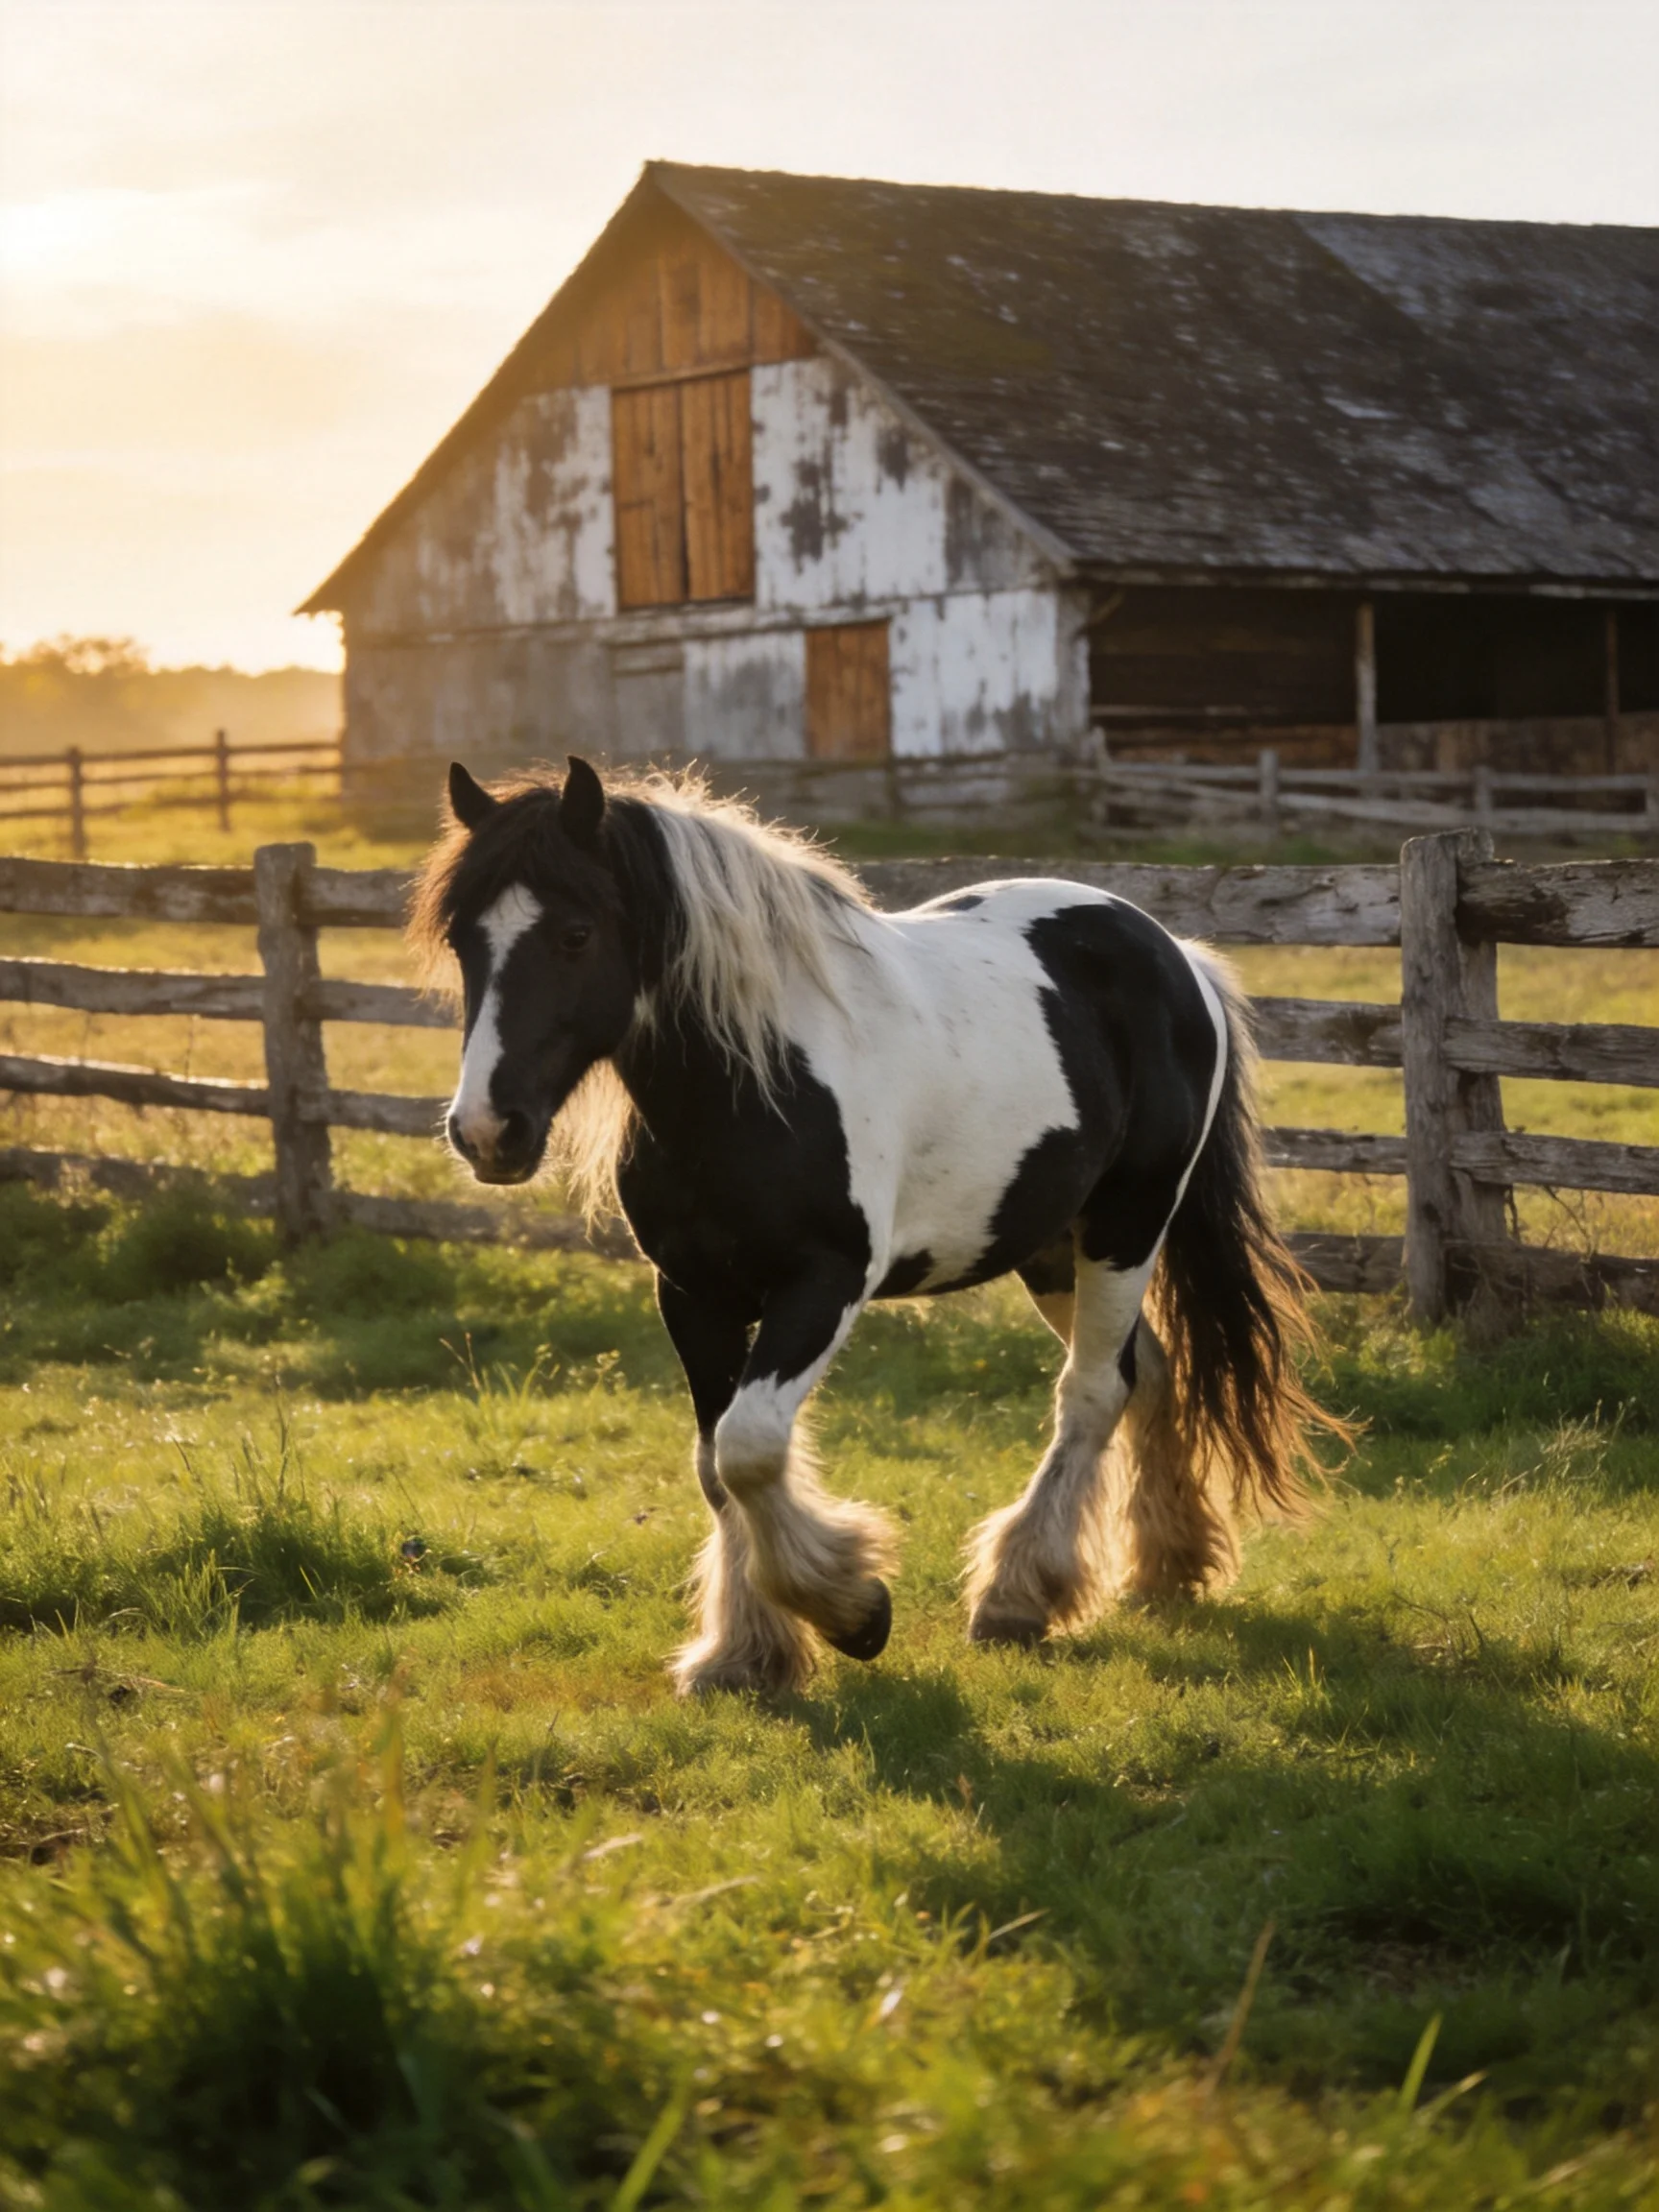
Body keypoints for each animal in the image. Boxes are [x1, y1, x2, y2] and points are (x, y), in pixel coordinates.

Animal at [412, 756, 1345, 1697]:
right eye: (462, 941)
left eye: (574, 934)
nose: (487, 1131)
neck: (751, 1082)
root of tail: (1175, 954)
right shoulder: (693, 1292)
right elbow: (715, 1465)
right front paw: (743, 1654)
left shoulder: (824, 1284)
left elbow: (750, 1449)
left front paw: (851, 1609)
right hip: (1050, 1245)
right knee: (1144, 1373)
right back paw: (1164, 1567)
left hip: (1129, 1222)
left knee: (1091, 1392)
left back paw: (1017, 1597)